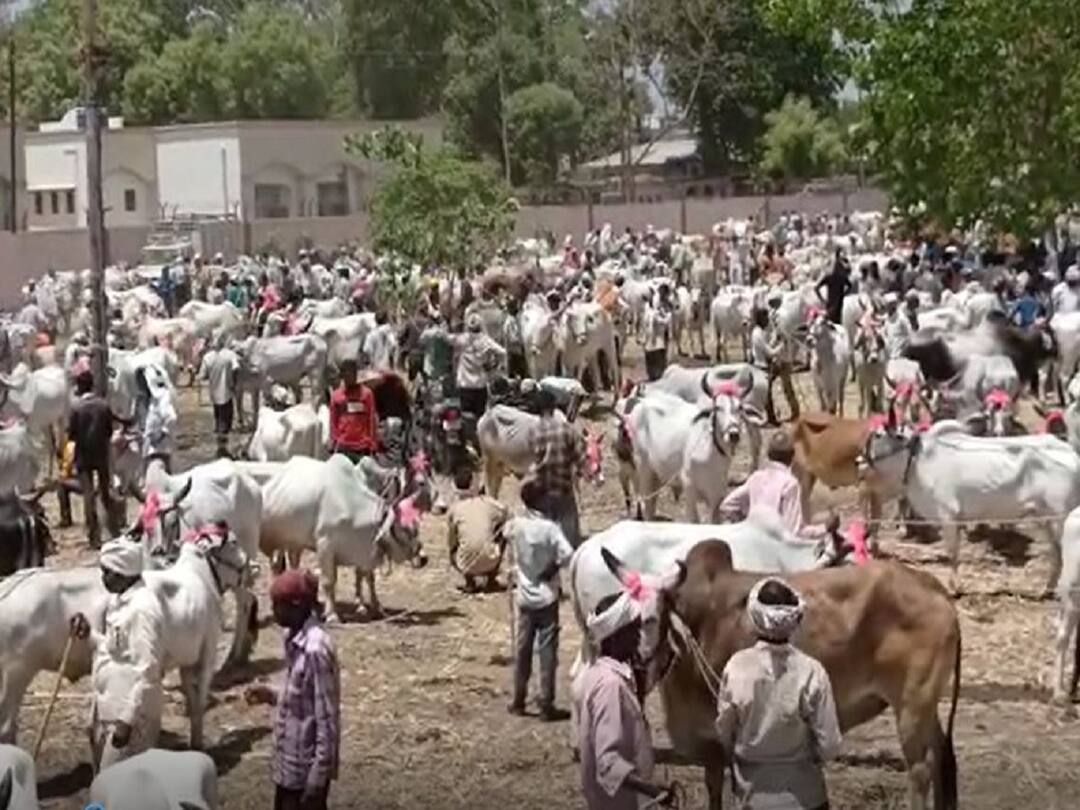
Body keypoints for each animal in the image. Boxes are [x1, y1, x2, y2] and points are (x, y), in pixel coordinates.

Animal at [257, 455, 429, 622]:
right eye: (406, 529)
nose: (423, 558)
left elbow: (367, 577)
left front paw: (376, 607)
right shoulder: (325, 546)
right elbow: (328, 581)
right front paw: (332, 614)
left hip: (293, 542)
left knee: (290, 565)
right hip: (279, 541)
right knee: (276, 566)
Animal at [621, 543, 961, 810]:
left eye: (650, 619)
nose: (635, 663)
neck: (701, 622)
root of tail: (934, 587)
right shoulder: (711, 748)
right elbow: (714, 788)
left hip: (911, 704)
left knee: (921, 770)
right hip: (925, 707)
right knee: (942, 758)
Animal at [860, 418, 1080, 594]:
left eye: (878, 434)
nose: (859, 460)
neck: (919, 461)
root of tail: (1071, 452)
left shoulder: (947, 515)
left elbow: (952, 553)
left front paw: (954, 588)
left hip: (1060, 518)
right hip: (1046, 519)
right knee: (1056, 553)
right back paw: (1046, 589)